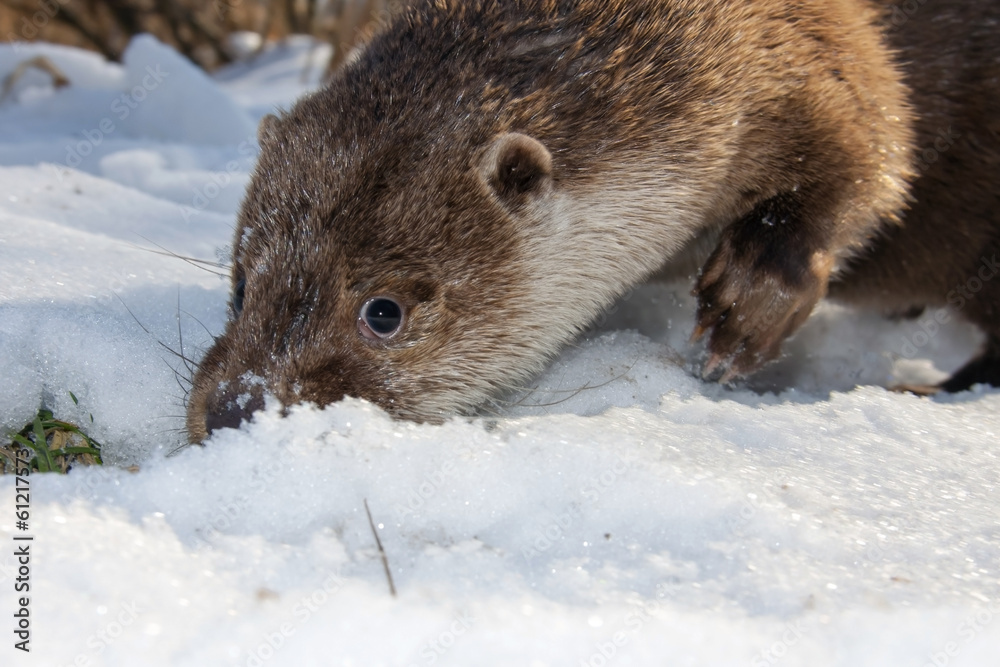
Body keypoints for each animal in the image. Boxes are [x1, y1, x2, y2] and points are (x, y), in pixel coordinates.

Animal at [186, 0, 999, 443]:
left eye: (383, 311)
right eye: (240, 283)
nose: (234, 411)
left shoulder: (817, 57)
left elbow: (869, 155)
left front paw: (743, 312)